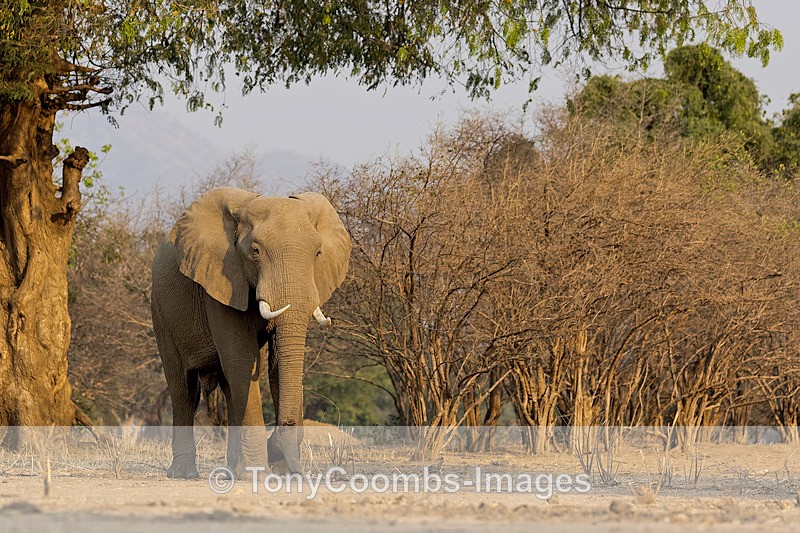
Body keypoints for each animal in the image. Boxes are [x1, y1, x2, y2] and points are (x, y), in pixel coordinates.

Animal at [150, 187, 351, 479]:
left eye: (317, 253)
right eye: (255, 251)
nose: (297, 473)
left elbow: (274, 366)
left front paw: (276, 470)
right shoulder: (223, 278)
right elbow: (241, 360)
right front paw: (258, 473)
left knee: (229, 388)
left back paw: (232, 470)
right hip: (160, 310)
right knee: (184, 389)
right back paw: (184, 474)